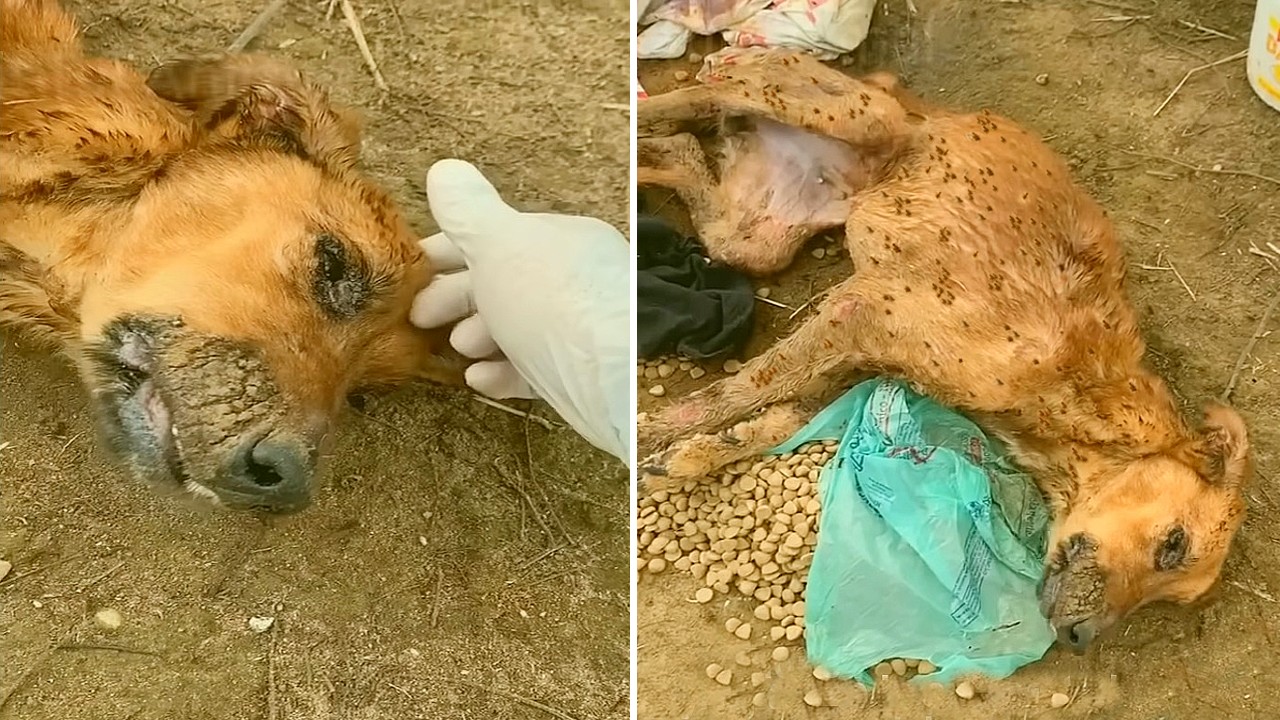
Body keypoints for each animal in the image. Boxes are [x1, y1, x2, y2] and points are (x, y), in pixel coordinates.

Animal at [634, 47, 1254, 653]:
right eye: (1173, 544)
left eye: (1169, 593)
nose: (1079, 639)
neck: (1075, 397)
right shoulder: (859, 313)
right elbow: (739, 390)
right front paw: (650, 433)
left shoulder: (866, 357)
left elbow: (776, 414)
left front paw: (692, 456)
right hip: (842, 111)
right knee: (689, 99)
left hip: (756, 237)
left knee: (682, 147)